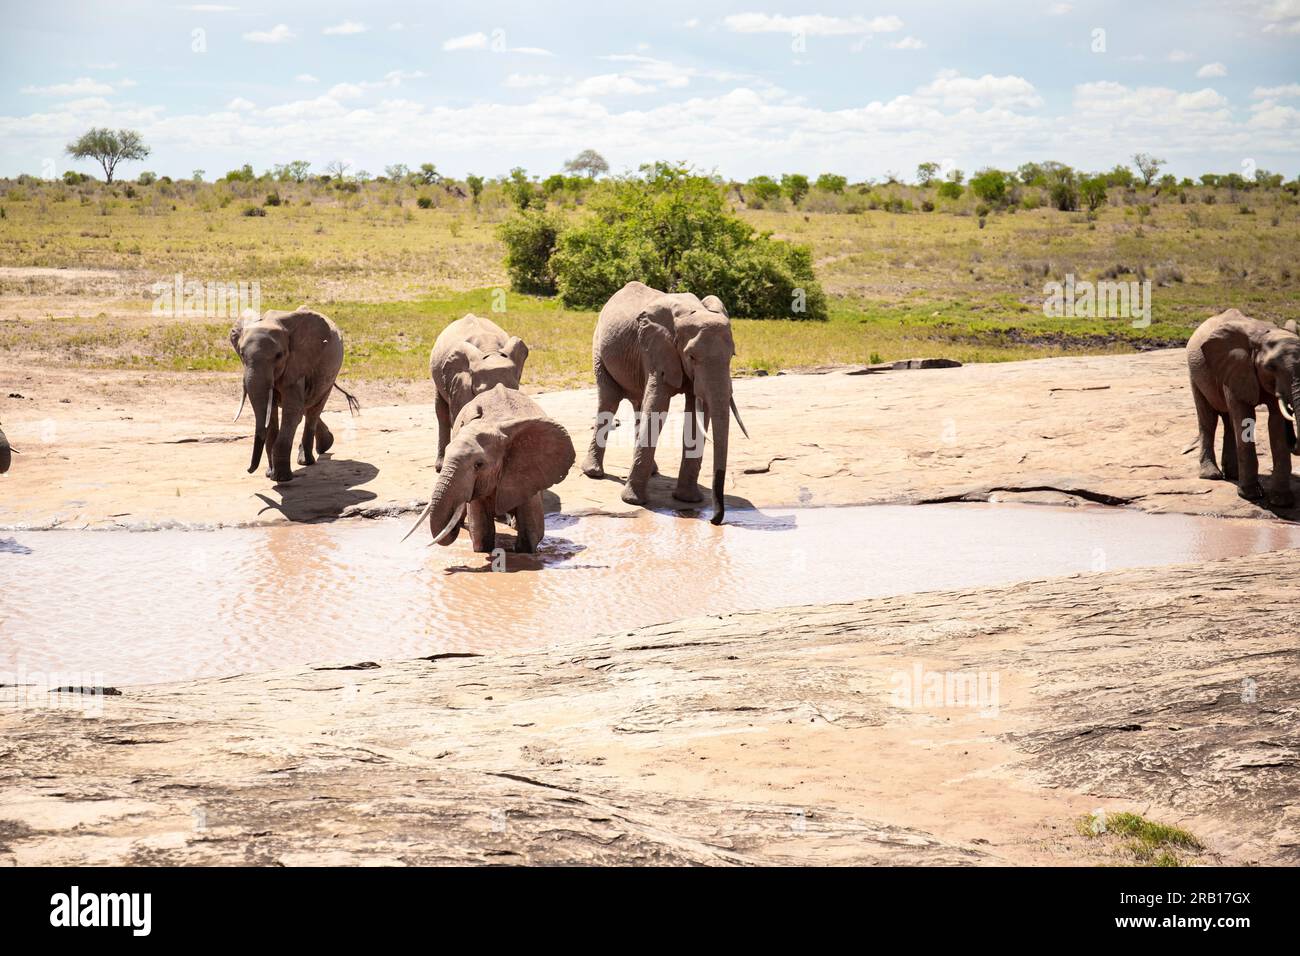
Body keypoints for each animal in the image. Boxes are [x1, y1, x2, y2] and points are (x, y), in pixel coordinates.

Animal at [230, 308, 358, 486]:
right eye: (241, 354)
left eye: (279, 355)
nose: (249, 470)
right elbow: (272, 416)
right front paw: (270, 474)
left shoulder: (297, 364)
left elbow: (292, 412)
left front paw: (281, 478)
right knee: (307, 409)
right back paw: (325, 445)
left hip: (331, 376)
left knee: (313, 410)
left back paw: (307, 460)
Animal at [400, 382, 574, 554]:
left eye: (479, 465)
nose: (453, 528)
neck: (496, 424)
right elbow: (481, 533)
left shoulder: (526, 470)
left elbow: (532, 534)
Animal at [428, 314, 525, 476]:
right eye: (480, 393)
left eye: (514, 389)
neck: (490, 352)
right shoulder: (459, 384)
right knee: (441, 413)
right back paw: (440, 467)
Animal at [582, 280, 754, 528]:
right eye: (691, 357)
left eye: (732, 355)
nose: (715, 520)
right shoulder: (657, 351)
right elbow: (658, 408)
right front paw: (633, 502)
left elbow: (697, 414)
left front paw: (687, 500)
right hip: (599, 348)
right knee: (609, 400)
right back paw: (593, 473)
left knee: (638, 403)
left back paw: (653, 472)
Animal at [1190, 312, 1300, 509]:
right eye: (1271, 367)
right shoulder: (1238, 368)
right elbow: (1245, 417)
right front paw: (1251, 495)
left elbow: (1276, 422)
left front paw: (1281, 502)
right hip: (1195, 373)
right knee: (1208, 419)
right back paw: (1212, 476)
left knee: (1228, 422)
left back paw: (1233, 475)